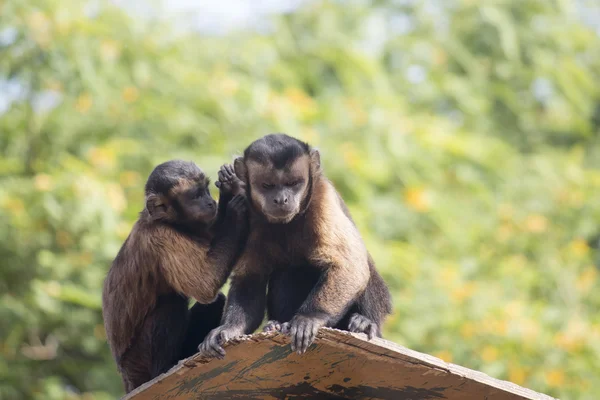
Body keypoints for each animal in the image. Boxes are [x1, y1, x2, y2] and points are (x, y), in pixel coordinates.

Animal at [102, 160, 247, 394]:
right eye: (196, 195)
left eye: (206, 190)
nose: (210, 202)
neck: (167, 221)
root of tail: (126, 379)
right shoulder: (160, 237)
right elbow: (205, 284)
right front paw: (236, 209)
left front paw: (227, 185)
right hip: (137, 364)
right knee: (170, 303)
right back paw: (163, 369)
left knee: (214, 303)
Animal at [199, 134, 392, 356]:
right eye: (267, 185)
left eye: (293, 183)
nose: (281, 199)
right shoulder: (247, 212)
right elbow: (250, 276)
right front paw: (229, 328)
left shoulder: (323, 198)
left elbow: (349, 265)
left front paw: (309, 318)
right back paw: (276, 324)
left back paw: (365, 322)